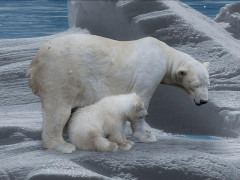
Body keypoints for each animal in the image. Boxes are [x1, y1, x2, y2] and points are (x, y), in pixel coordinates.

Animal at [26, 33, 210, 152]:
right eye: (196, 85)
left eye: (208, 84)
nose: (204, 101)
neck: (164, 53)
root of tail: (34, 64)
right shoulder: (149, 72)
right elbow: (142, 98)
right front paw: (146, 135)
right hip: (60, 75)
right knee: (59, 110)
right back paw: (63, 146)